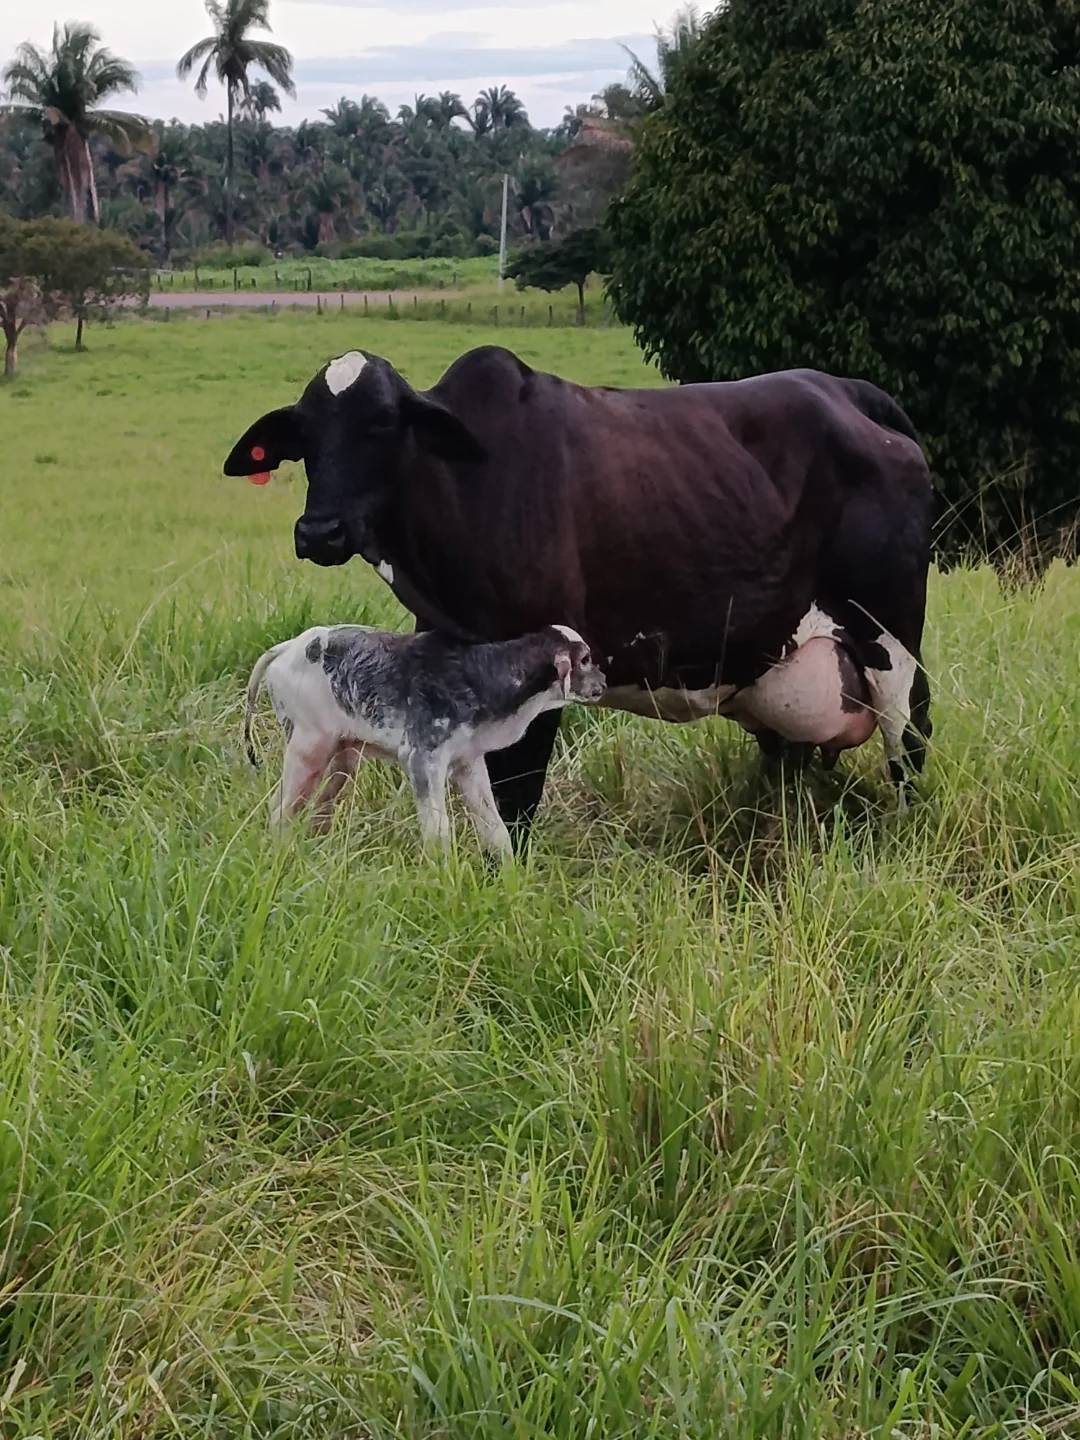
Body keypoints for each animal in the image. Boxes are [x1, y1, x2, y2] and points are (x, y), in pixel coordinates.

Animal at [244, 621, 606, 853]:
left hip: (342, 757)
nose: (603, 682)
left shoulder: (468, 762)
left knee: (316, 810)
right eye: (585, 659)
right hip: (309, 748)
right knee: (281, 811)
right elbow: (439, 833)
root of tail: (287, 648)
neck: (480, 675)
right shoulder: (422, 759)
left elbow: (495, 830)